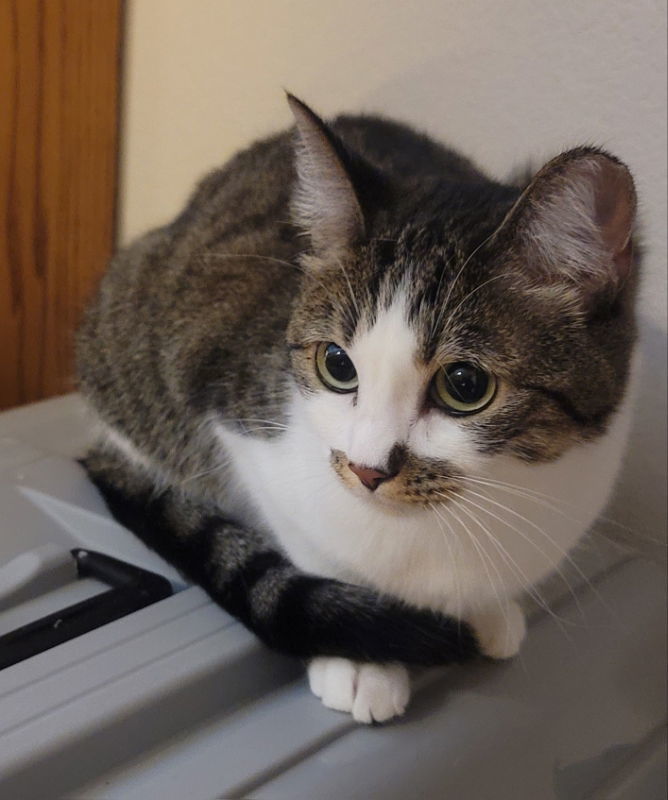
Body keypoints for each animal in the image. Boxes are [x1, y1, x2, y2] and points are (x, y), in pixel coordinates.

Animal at [75, 94, 640, 724]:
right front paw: (360, 659)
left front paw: (487, 606)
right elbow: (310, 540)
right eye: (336, 364)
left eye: (465, 385)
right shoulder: (231, 403)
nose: (368, 469)